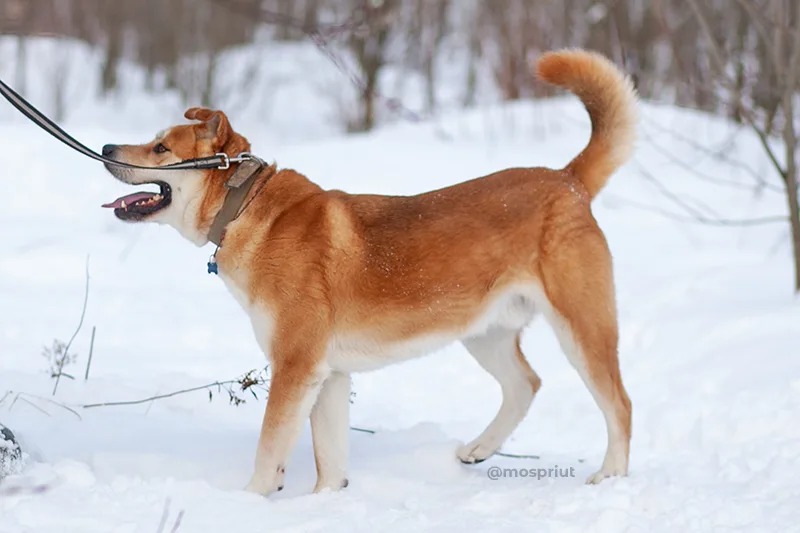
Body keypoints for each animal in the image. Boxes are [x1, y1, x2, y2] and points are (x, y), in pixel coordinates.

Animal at [101, 47, 636, 492]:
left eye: (161, 148)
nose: (105, 149)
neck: (246, 206)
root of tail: (568, 181)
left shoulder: (295, 367)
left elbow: (270, 451)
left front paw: (250, 503)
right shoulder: (330, 376)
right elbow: (330, 460)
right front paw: (324, 503)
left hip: (582, 329)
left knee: (620, 405)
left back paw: (609, 477)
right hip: (485, 332)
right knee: (526, 385)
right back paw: (479, 449)